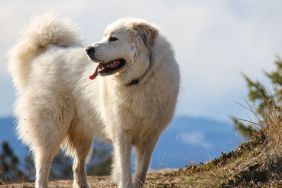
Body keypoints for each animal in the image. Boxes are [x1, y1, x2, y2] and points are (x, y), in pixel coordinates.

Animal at [9, 13, 180, 188]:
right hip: (52, 129)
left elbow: (141, 172)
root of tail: (46, 53)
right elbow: (125, 171)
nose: (88, 49)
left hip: (82, 135)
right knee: (43, 166)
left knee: (77, 165)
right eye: (104, 36)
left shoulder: (150, 137)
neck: (140, 79)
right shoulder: (121, 134)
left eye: (113, 39)